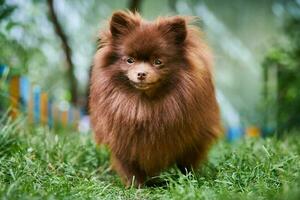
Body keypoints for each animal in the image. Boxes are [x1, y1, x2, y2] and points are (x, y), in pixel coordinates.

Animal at [88, 10, 221, 186]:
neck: (144, 104)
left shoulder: (192, 140)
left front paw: (187, 181)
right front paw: (136, 186)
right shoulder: (123, 143)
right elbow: (131, 169)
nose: (141, 73)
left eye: (158, 62)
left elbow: (186, 164)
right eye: (129, 60)